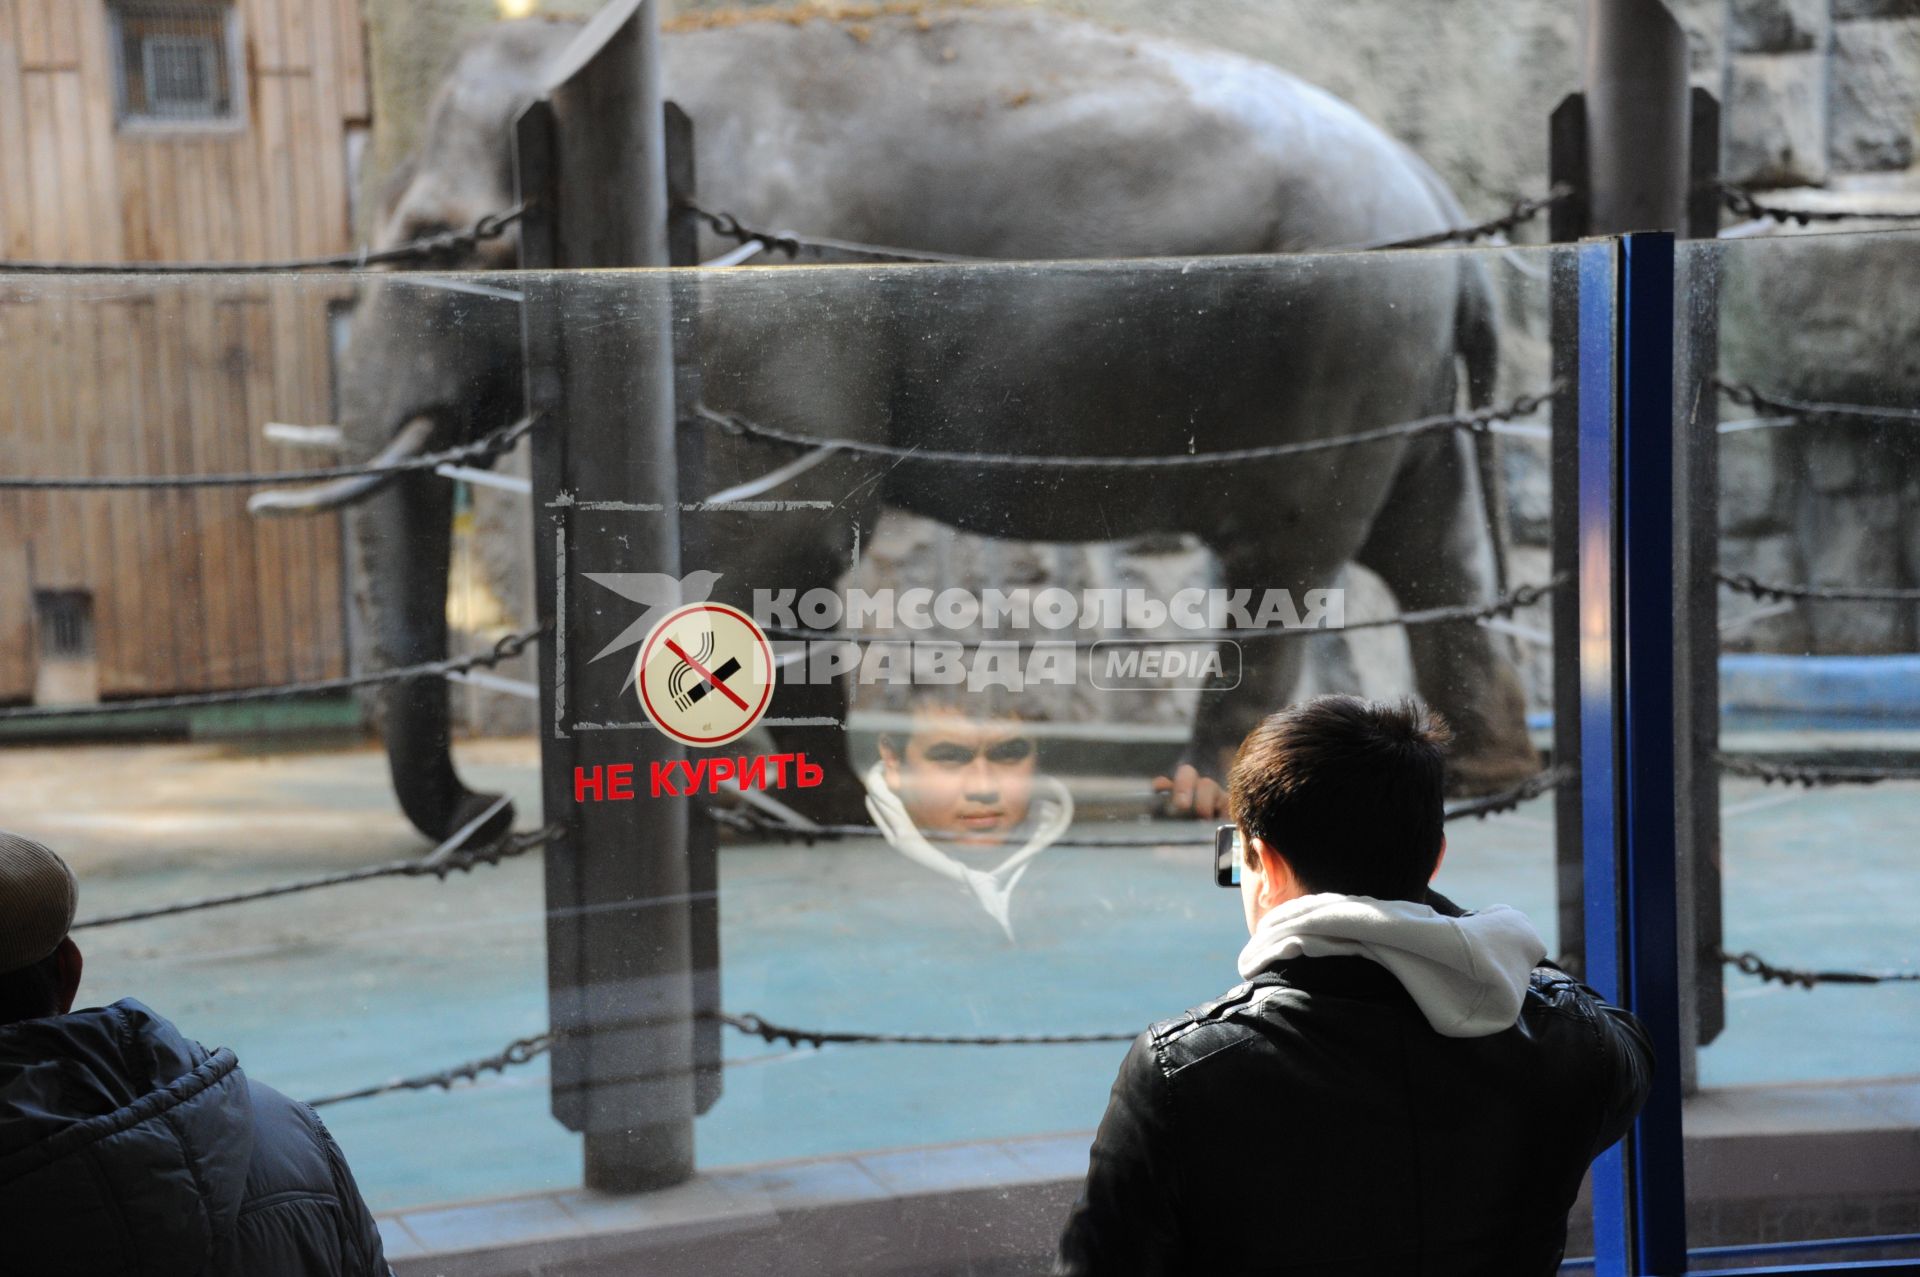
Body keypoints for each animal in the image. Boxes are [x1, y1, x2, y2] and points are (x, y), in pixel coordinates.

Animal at [259, 12, 1543, 844]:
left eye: (441, 241)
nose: (485, 815)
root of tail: (1441, 197)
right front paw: (810, 808)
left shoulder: (770, 292)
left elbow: (787, 528)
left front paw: (767, 811)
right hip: (1401, 369)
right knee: (1431, 548)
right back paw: (1481, 775)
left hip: (1341, 344)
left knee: (1289, 546)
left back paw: (1198, 796)